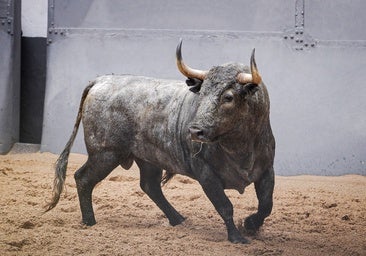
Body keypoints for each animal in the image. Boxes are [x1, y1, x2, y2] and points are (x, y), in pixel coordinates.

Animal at [44, 40, 274, 244]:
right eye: (202, 94)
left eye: (228, 97)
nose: (195, 131)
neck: (239, 147)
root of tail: (100, 81)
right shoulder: (205, 173)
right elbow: (225, 206)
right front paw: (237, 237)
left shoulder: (266, 170)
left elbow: (266, 204)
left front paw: (250, 224)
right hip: (105, 153)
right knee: (83, 178)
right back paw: (89, 222)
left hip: (147, 158)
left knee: (150, 185)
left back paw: (177, 219)